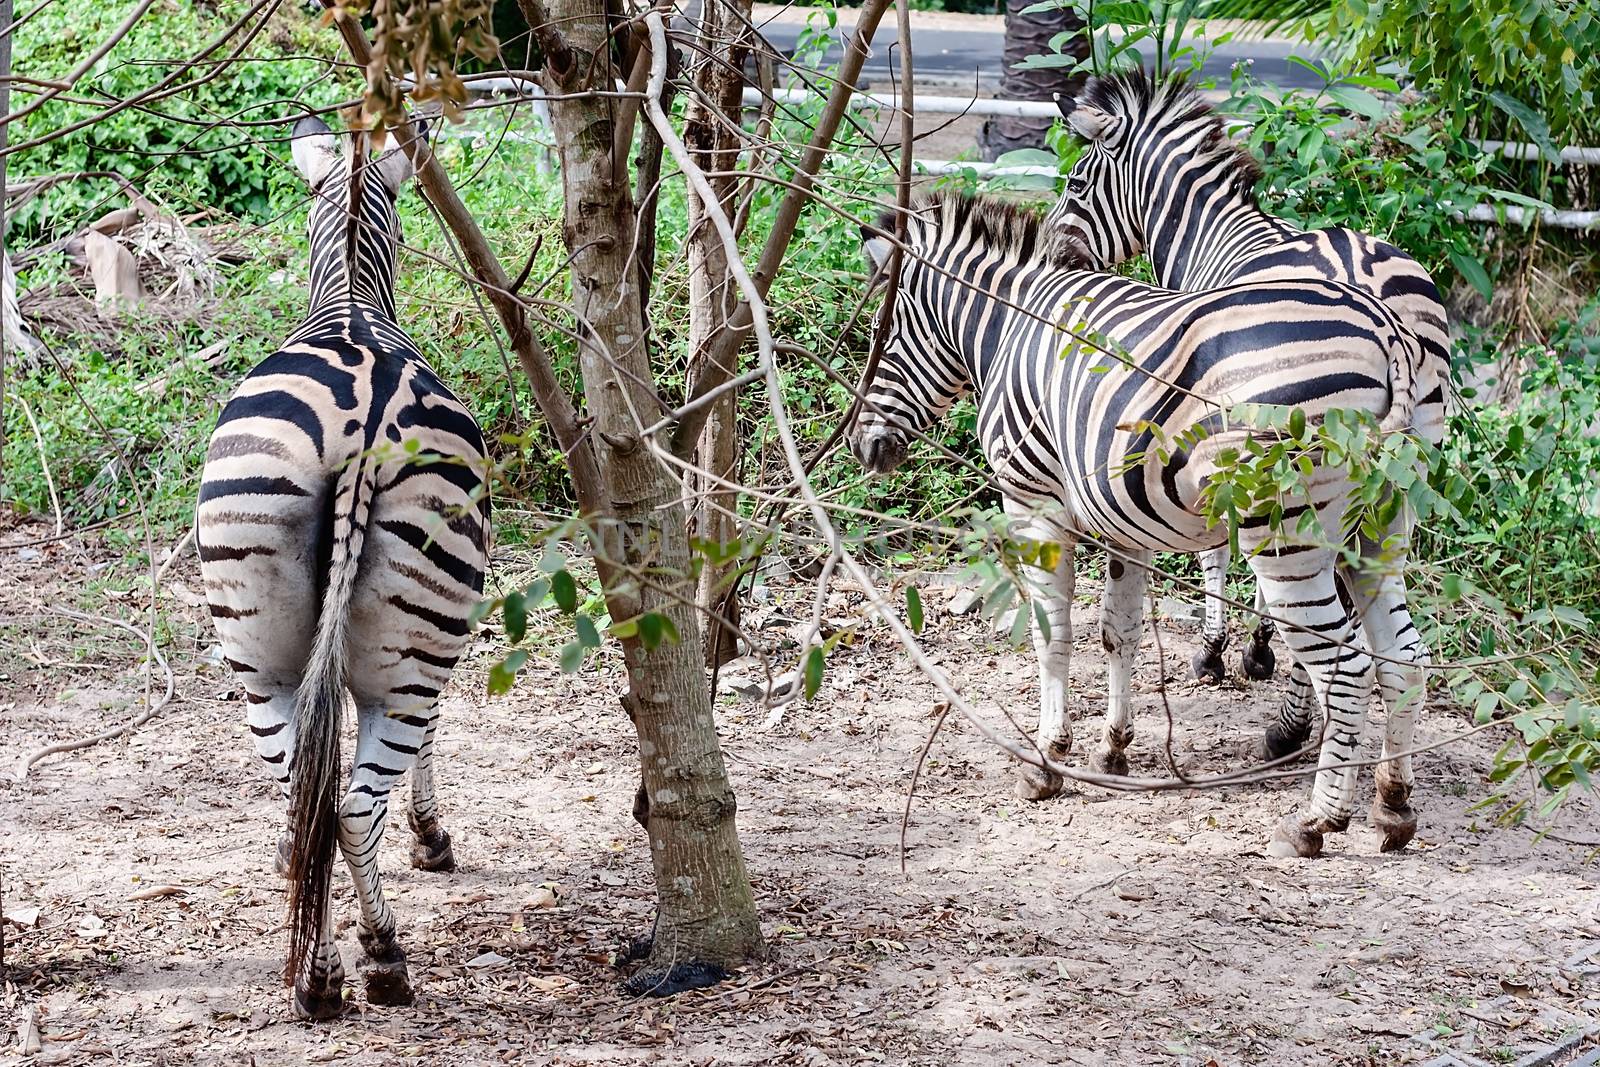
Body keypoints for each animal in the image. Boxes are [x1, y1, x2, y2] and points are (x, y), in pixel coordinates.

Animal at [197, 116, 489, 1017]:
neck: (352, 300)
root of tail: (362, 422)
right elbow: (432, 735)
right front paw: (431, 839)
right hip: (411, 638)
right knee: (348, 803)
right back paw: (376, 959)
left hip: (263, 643)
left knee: (316, 796)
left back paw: (328, 975)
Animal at [857, 191, 1433, 857]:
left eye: (882, 336)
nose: (862, 448)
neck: (1010, 326)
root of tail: (1385, 332)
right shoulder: (1126, 522)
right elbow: (1119, 633)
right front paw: (1113, 751)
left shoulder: (1034, 502)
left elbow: (1053, 633)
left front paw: (1046, 761)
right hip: (1379, 530)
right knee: (1403, 659)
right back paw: (1393, 806)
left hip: (1286, 537)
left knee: (1346, 671)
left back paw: (1315, 822)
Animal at [1043, 68, 1446, 758]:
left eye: (1076, 184)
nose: (1053, 257)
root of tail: (1362, 275)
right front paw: (1253, 648)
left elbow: (1219, 552)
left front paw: (1222, 650)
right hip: (1409, 452)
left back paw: (1289, 725)